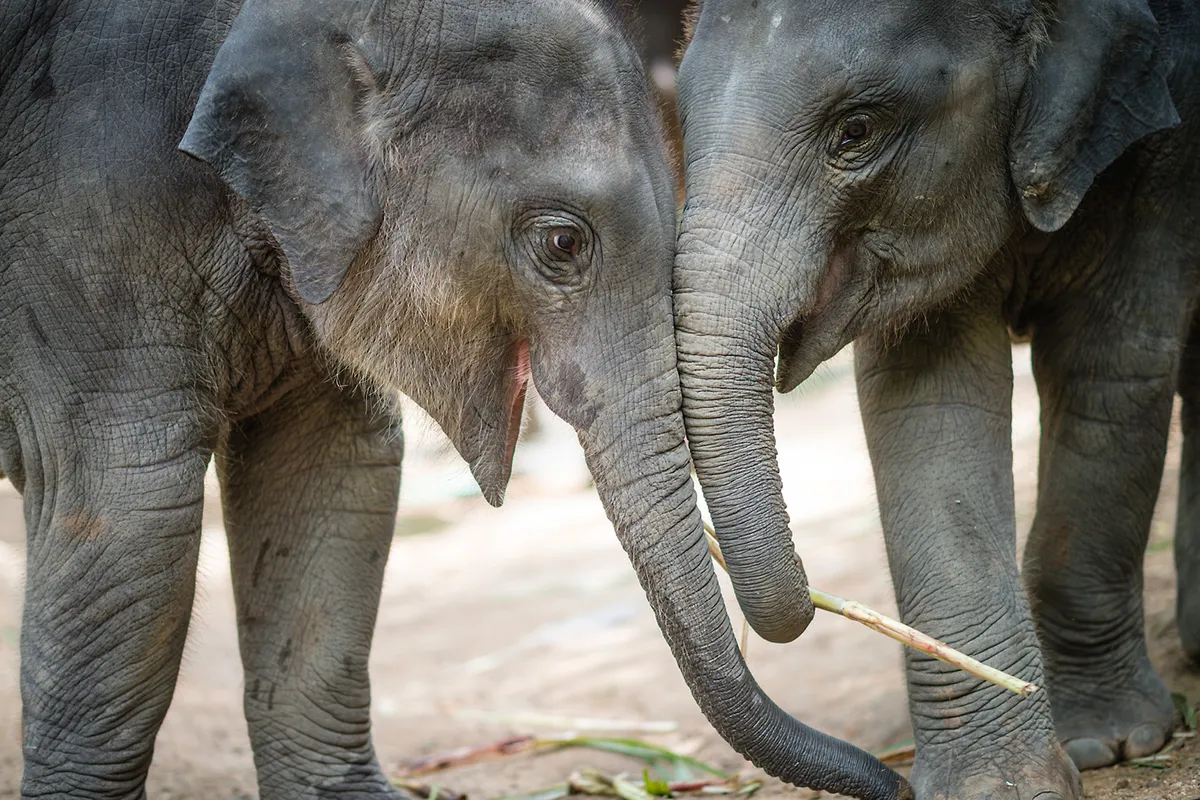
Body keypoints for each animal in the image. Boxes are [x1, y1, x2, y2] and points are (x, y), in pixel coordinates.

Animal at [673, 0, 1200, 798]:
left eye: (856, 130)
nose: (891, 783)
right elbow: (926, 404)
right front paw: (997, 786)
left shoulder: (1161, 149)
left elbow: (1112, 366)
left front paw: (1109, 744)